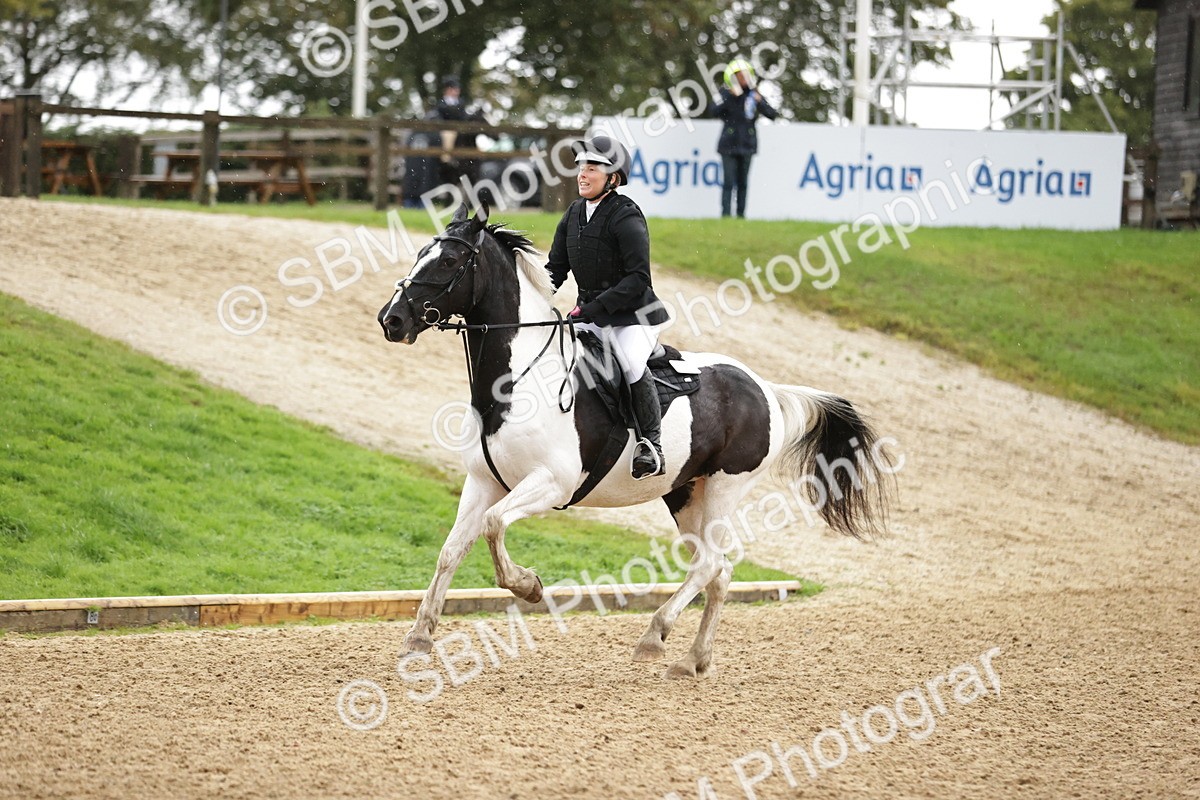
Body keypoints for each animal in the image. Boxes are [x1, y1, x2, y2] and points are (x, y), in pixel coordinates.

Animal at [377, 202, 890, 678]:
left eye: (447, 261)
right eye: (421, 255)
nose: (392, 320)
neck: (519, 380)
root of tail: (766, 387)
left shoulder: (551, 482)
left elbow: (494, 525)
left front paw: (529, 586)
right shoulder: (483, 481)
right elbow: (452, 550)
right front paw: (419, 636)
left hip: (726, 487)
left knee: (708, 565)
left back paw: (654, 637)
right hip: (686, 495)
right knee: (719, 570)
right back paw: (694, 659)